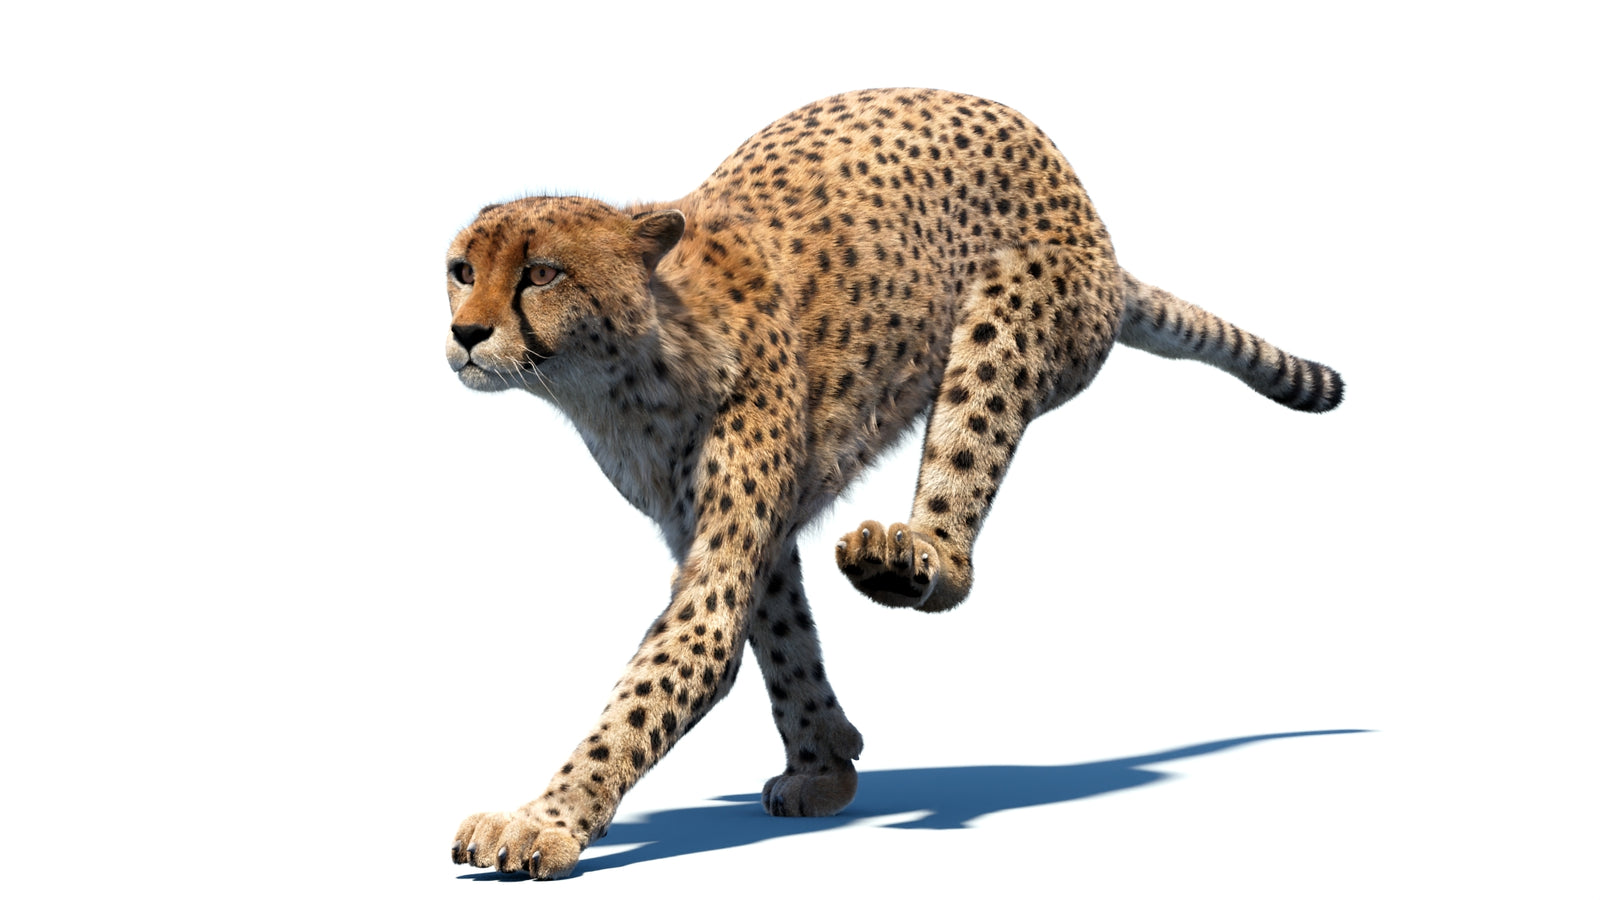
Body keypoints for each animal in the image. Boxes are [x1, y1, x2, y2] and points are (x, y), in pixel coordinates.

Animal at [444, 87, 1342, 879]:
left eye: (540, 274)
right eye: (459, 269)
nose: (465, 333)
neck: (626, 365)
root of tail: (1098, 230)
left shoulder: (722, 554)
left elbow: (669, 673)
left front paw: (543, 822)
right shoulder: (734, 532)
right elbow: (781, 637)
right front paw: (825, 758)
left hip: (1008, 313)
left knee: (962, 517)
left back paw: (912, 558)